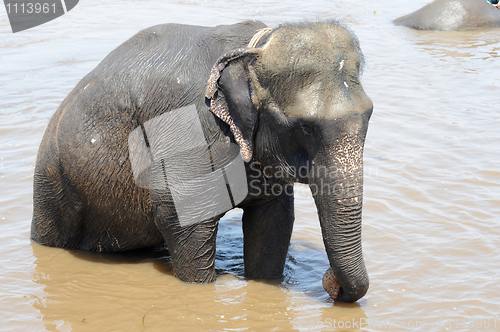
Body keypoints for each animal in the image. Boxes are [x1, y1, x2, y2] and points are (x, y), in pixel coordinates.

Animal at [31, 19, 374, 302]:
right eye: (303, 127)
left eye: (369, 115)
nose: (331, 283)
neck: (252, 50)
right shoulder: (186, 124)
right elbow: (181, 215)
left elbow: (273, 216)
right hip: (55, 183)